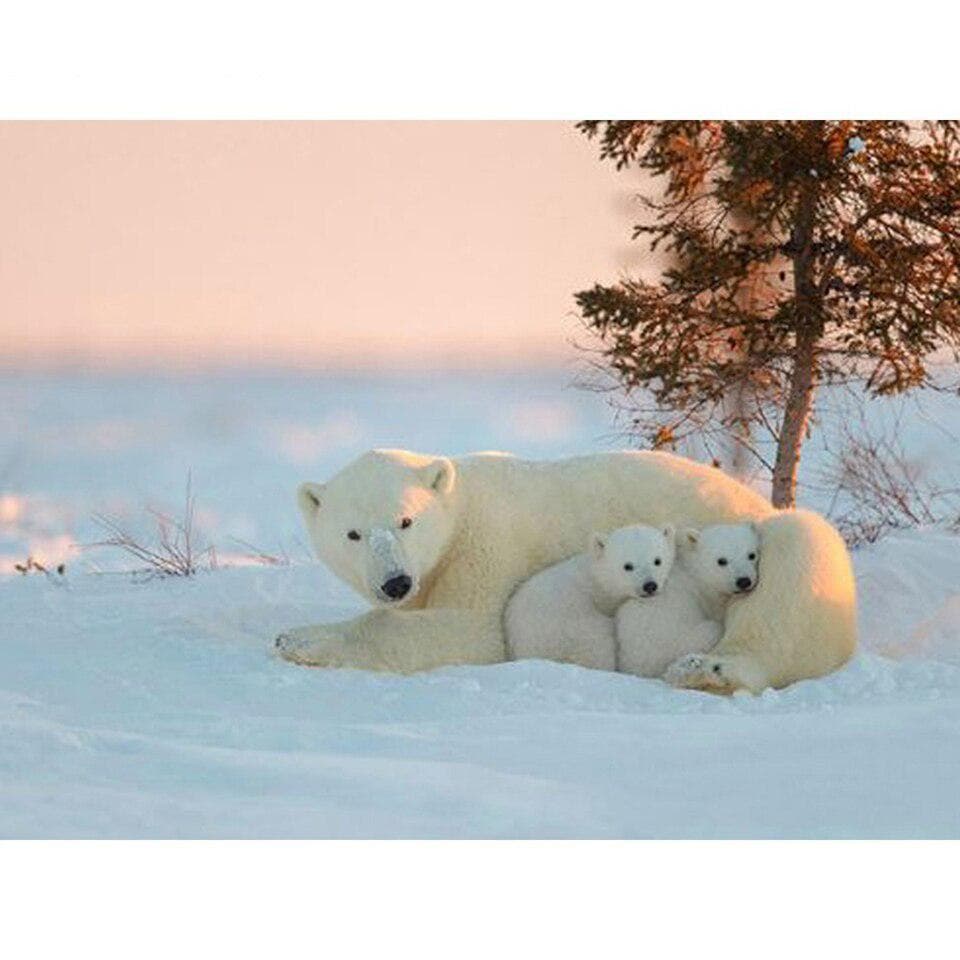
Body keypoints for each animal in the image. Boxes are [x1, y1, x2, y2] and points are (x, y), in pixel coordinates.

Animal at [616, 522, 760, 679]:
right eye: (722, 561)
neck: (694, 571)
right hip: (681, 642)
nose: (744, 581)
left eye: (752, 555)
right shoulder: (708, 598)